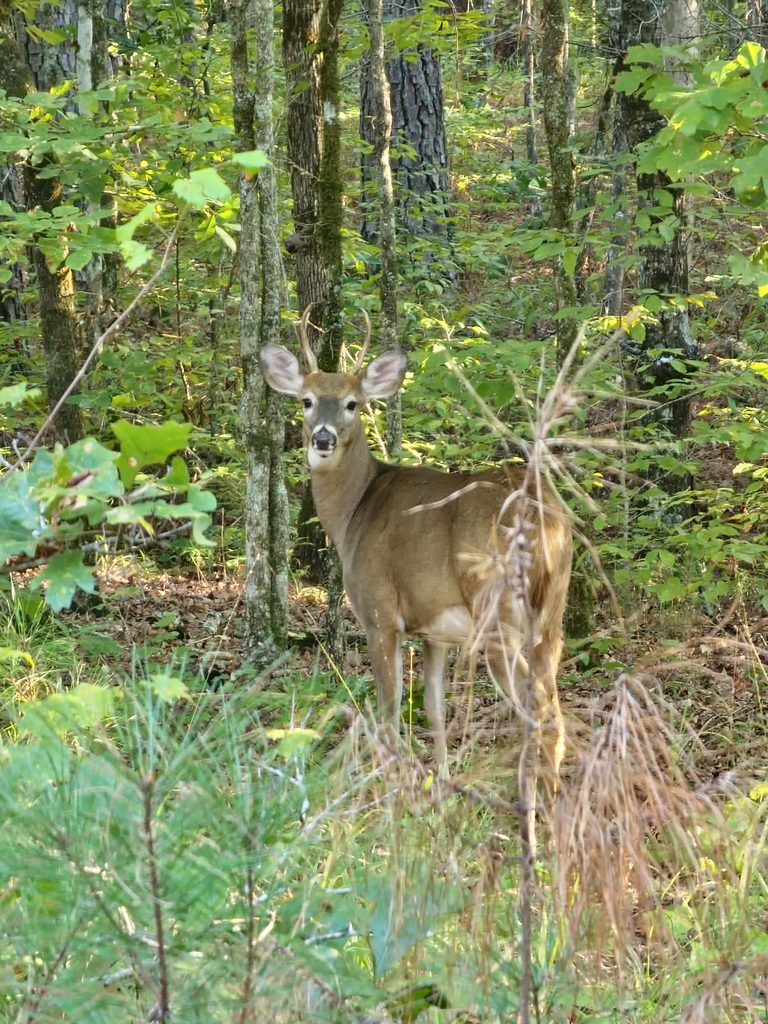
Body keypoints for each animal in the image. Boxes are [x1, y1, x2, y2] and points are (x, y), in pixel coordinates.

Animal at [261, 326, 572, 797]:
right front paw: (440, 783)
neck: (355, 512)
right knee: (552, 706)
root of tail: (541, 515)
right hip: (552, 615)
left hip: (498, 614)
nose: (323, 439)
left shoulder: (379, 614)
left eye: (353, 403)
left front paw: (387, 788)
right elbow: (433, 706)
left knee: (537, 708)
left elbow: (389, 710)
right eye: (307, 400)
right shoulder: (435, 630)